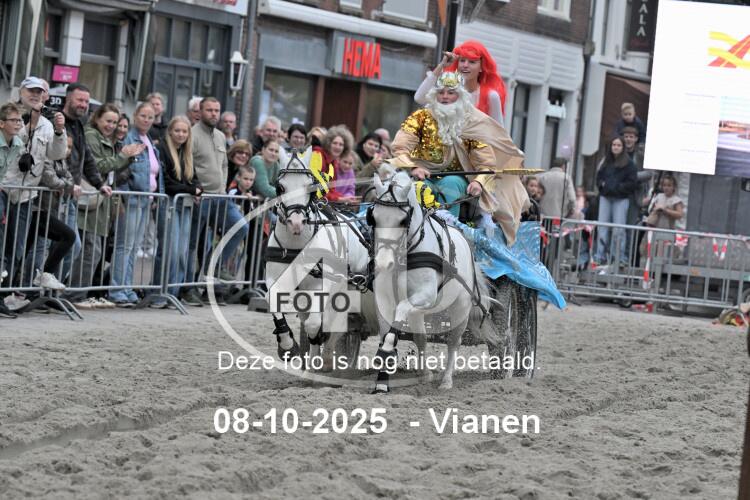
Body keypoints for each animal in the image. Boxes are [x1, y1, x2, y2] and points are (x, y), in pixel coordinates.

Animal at [368, 170, 491, 392]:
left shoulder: (425, 295)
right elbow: (386, 333)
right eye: (374, 217)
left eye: (403, 220)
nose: (383, 263)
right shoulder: (384, 298)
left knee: (453, 341)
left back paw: (447, 380)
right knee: (421, 338)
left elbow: (394, 324)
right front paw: (382, 379)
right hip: (419, 312)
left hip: (460, 308)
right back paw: (425, 375)